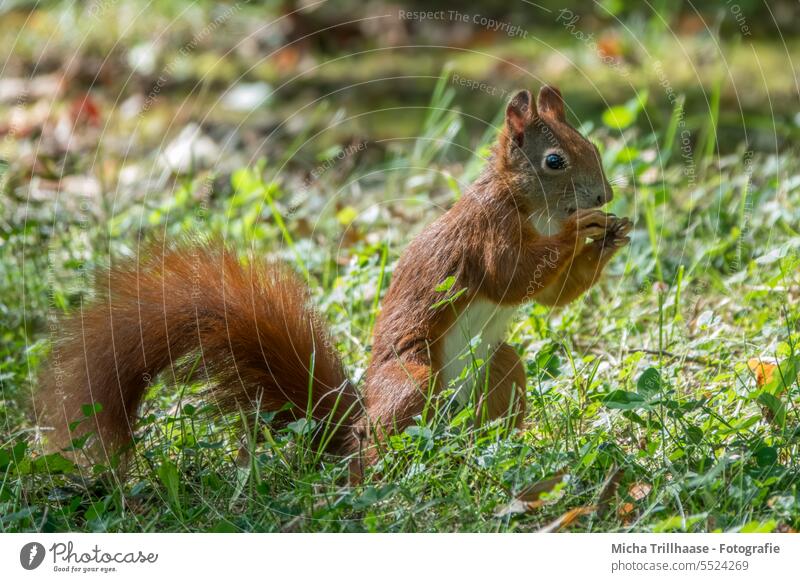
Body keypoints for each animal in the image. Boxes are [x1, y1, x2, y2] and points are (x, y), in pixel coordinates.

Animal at [36, 84, 632, 472]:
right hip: (412, 378)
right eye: (554, 161)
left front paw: (610, 237)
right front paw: (582, 229)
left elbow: (551, 296)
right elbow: (513, 276)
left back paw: (496, 450)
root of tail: (347, 430)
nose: (604, 196)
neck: (530, 208)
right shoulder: (487, 234)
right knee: (379, 443)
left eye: (593, 148)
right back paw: (381, 467)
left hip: (499, 369)